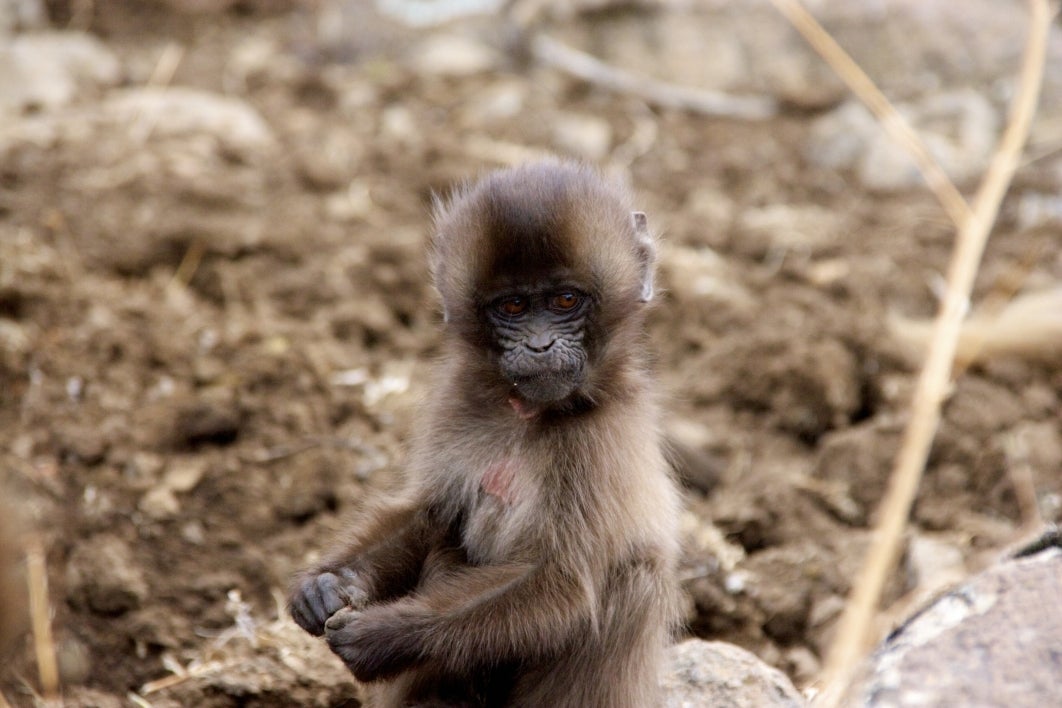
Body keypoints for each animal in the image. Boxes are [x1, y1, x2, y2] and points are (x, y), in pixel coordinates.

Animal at [293, 160, 679, 708]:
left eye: (565, 300)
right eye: (513, 307)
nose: (539, 346)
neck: (531, 416)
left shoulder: (600, 438)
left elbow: (563, 587)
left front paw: (380, 635)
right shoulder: (459, 401)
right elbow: (431, 513)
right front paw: (327, 584)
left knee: (633, 579)